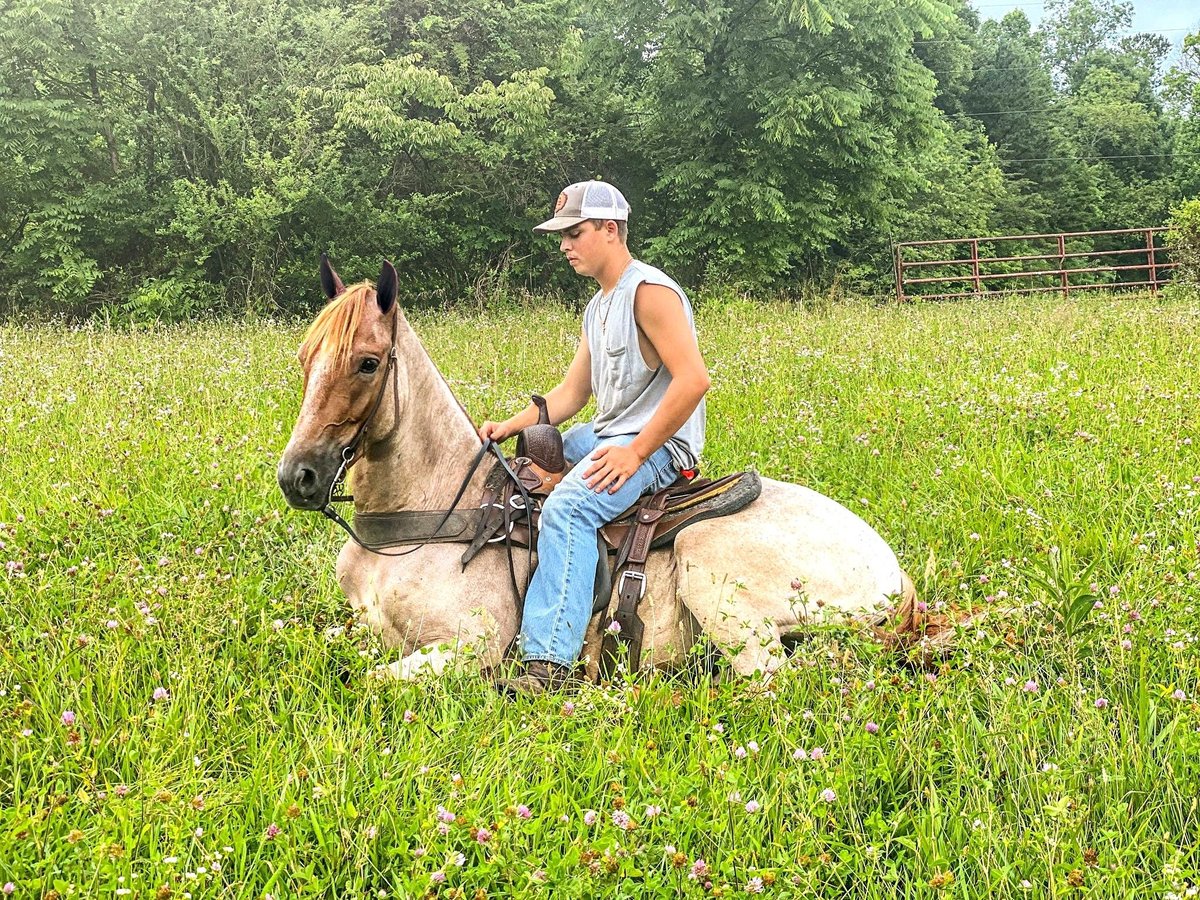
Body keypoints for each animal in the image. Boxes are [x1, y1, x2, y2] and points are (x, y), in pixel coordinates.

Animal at [276, 256, 921, 681]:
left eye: (367, 362)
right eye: (304, 357)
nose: (297, 477)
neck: (432, 516)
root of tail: (892, 571)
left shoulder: (468, 646)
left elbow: (367, 679)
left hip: (712, 571)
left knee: (766, 679)